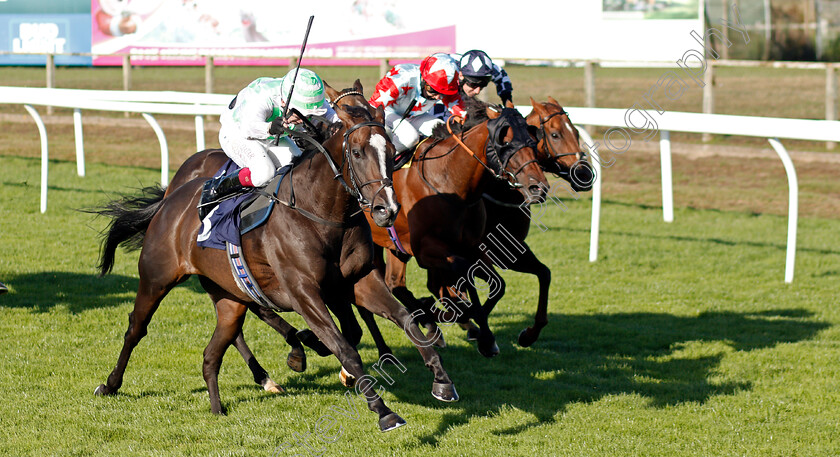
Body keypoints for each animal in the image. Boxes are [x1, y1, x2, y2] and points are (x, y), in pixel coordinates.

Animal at [91, 97, 456, 432]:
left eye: (392, 150)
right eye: (356, 152)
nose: (386, 209)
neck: (320, 213)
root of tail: (171, 199)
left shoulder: (358, 281)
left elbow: (405, 320)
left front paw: (442, 381)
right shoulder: (305, 293)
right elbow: (345, 347)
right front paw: (383, 411)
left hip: (229, 294)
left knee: (219, 344)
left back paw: (224, 401)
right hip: (156, 278)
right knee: (136, 328)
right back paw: (109, 385)